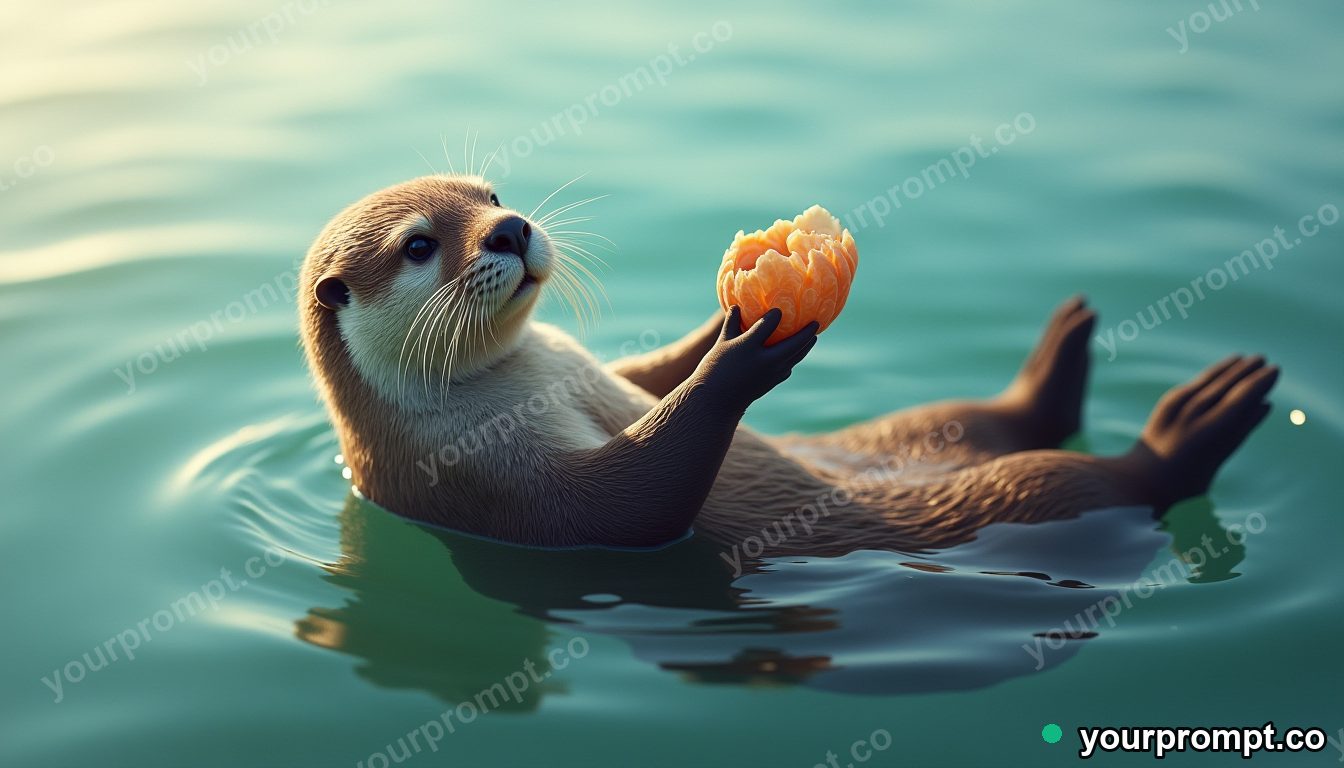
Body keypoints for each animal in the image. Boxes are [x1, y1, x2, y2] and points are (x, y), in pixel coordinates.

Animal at [298, 174, 1279, 555]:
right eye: (420, 245)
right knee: (1107, 482)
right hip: (1021, 500)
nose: (510, 229)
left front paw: (734, 308)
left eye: (490, 193)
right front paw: (743, 358)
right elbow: (632, 507)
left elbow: (650, 379)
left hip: (914, 429)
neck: (521, 380)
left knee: (989, 414)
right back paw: (1195, 423)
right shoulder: (479, 483)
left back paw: (1058, 359)